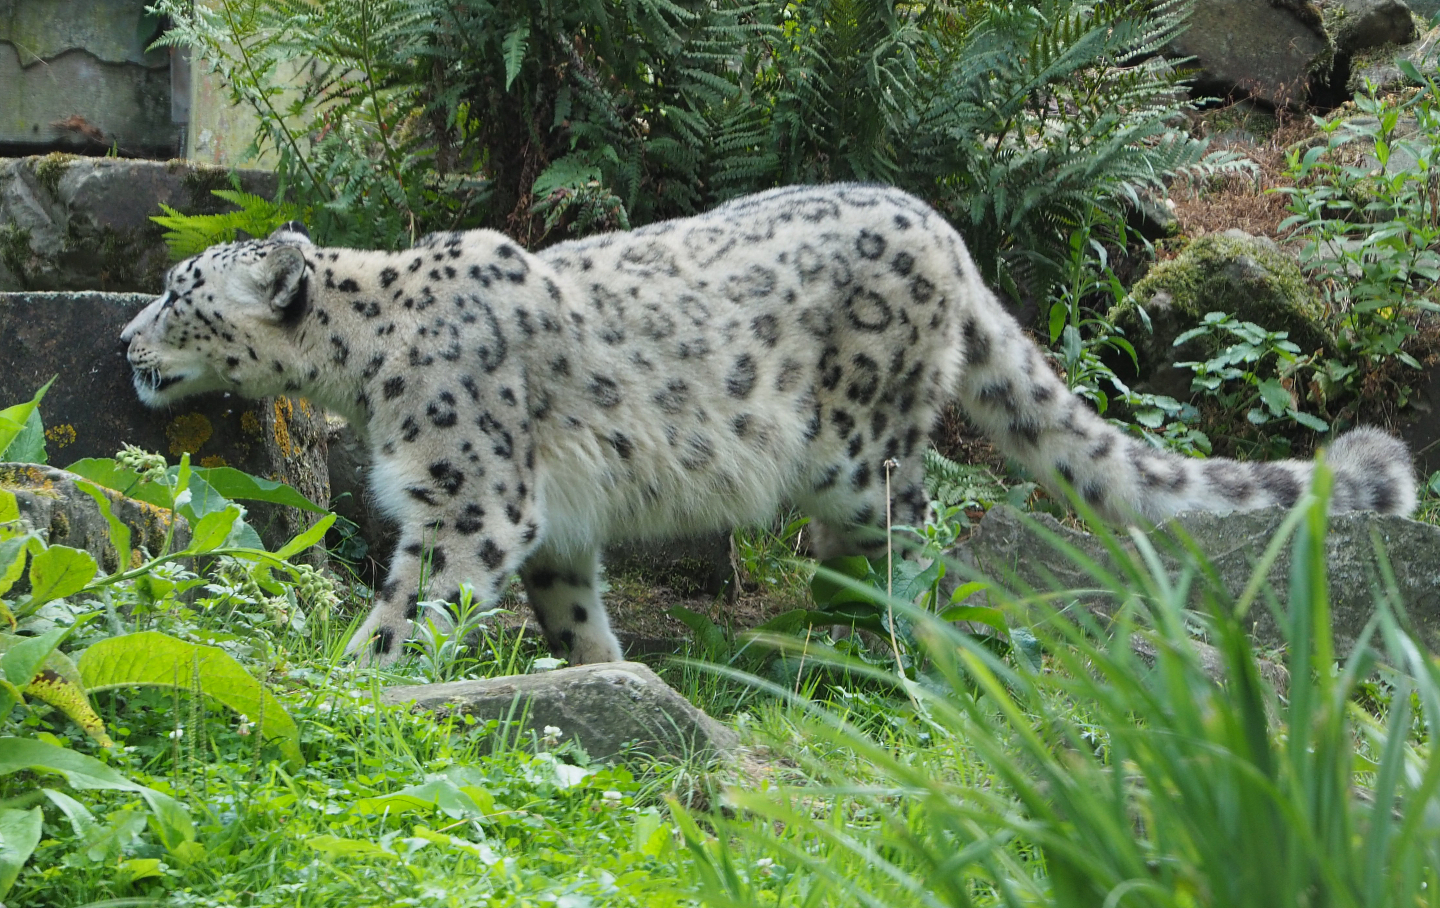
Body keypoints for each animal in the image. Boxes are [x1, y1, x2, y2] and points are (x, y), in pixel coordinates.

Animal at [121, 183, 1417, 666]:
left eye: (182, 292)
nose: (126, 342)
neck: (369, 366)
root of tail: (941, 228)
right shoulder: (548, 526)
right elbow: (573, 607)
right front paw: (604, 676)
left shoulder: (469, 500)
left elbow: (407, 612)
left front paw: (343, 684)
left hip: (859, 447)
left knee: (908, 536)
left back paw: (869, 646)